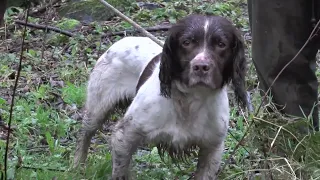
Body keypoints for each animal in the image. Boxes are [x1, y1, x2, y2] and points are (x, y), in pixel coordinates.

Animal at [74, 14, 248, 180]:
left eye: (221, 44)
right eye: (186, 42)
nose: (200, 66)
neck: (189, 101)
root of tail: (125, 39)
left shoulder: (212, 147)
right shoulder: (124, 135)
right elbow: (120, 169)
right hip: (97, 109)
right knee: (85, 135)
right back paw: (77, 166)